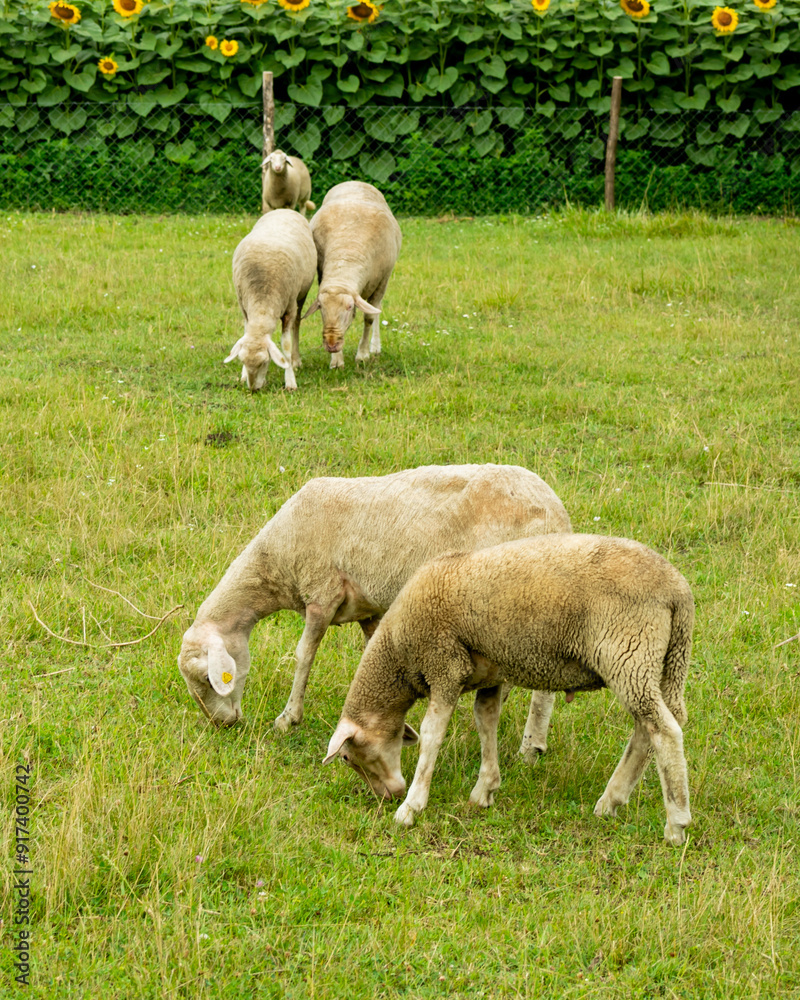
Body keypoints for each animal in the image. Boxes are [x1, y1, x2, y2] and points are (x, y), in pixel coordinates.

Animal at [177, 464, 571, 735]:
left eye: (206, 679)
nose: (224, 725)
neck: (274, 559)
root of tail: (557, 514)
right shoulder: (368, 610)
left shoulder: (322, 592)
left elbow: (303, 655)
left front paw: (288, 719)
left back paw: (531, 745)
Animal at [224, 209, 317, 392]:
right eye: (242, 360)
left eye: (265, 362)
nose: (253, 389)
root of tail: (284, 209)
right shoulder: (245, 308)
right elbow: (246, 333)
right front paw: (243, 375)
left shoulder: (289, 309)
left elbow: (286, 345)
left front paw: (290, 381)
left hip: (301, 295)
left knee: (297, 325)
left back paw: (296, 360)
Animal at [303, 181, 402, 370]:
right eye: (321, 307)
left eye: (349, 306)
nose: (331, 344)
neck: (347, 250)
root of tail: (355, 181)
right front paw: (336, 361)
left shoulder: (381, 282)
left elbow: (369, 318)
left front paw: (362, 355)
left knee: (377, 309)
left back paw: (375, 347)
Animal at [323, 533, 694, 846]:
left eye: (346, 757)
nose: (388, 796)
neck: (398, 650)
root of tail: (678, 590)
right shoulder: (490, 673)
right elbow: (485, 721)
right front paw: (484, 790)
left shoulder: (444, 664)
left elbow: (432, 735)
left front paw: (411, 808)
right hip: (665, 662)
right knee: (650, 729)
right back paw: (610, 801)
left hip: (629, 652)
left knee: (663, 731)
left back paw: (676, 823)